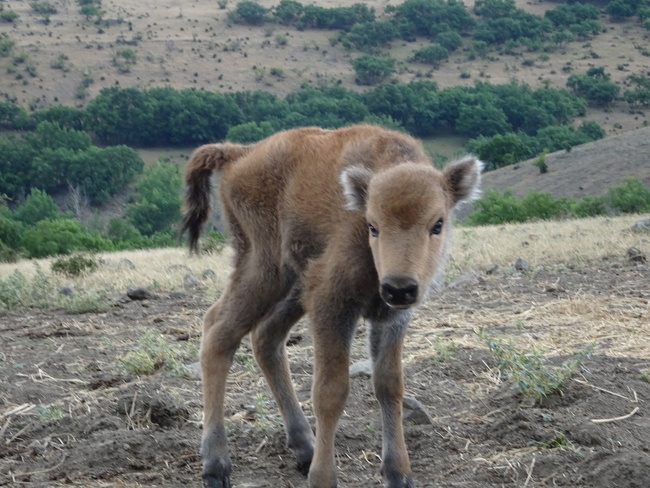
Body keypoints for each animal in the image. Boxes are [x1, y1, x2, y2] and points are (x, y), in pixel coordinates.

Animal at [182, 125, 480, 488]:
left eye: (437, 223)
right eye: (372, 225)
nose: (399, 287)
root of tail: (241, 154)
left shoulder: (391, 318)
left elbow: (389, 385)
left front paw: (398, 473)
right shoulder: (331, 303)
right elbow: (330, 392)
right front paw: (323, 477)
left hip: (294, 286)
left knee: (265, 337)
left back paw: (303, 446)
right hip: (265, 270)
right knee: (218, 334)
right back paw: (216, 464)